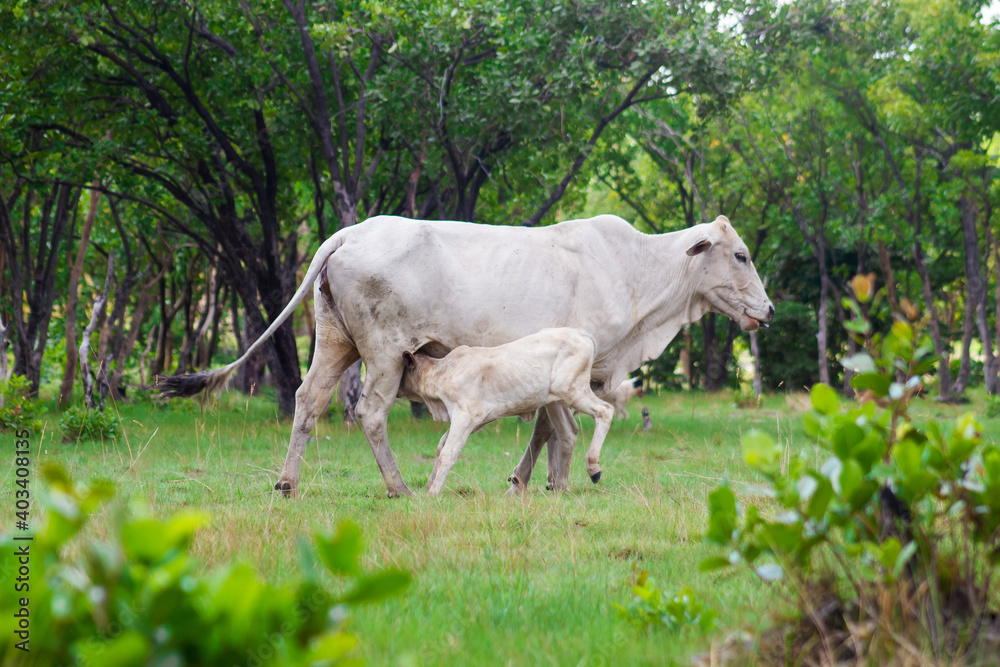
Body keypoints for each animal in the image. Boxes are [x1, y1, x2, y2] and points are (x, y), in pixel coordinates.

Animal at [398, 328, 614, 495]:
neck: (442, 372)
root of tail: (581, 334)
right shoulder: (474, 421)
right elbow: (441, 445)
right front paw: (429, 485)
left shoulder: (464, 416)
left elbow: (448, 453)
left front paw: (433, 493)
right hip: (555, 401)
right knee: (568, 432)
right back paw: (560, 487)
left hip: (571, 391)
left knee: (605, 410)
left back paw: (593, 467)